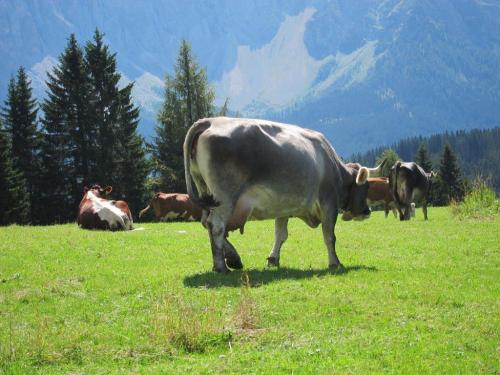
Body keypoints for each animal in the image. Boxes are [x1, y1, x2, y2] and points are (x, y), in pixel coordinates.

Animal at [184, 117, 382, 274]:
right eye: (365, 187)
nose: (368, 211)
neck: (333, 165)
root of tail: (211, 121)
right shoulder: (329, 204)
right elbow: (329, 236)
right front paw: (335, 263)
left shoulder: (283, 207)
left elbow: (281, 235)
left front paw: (273, 259)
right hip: (225, 198)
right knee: (216, 226)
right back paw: (221, 266)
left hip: (206, 193)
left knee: (207, 224)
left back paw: (233, 258)